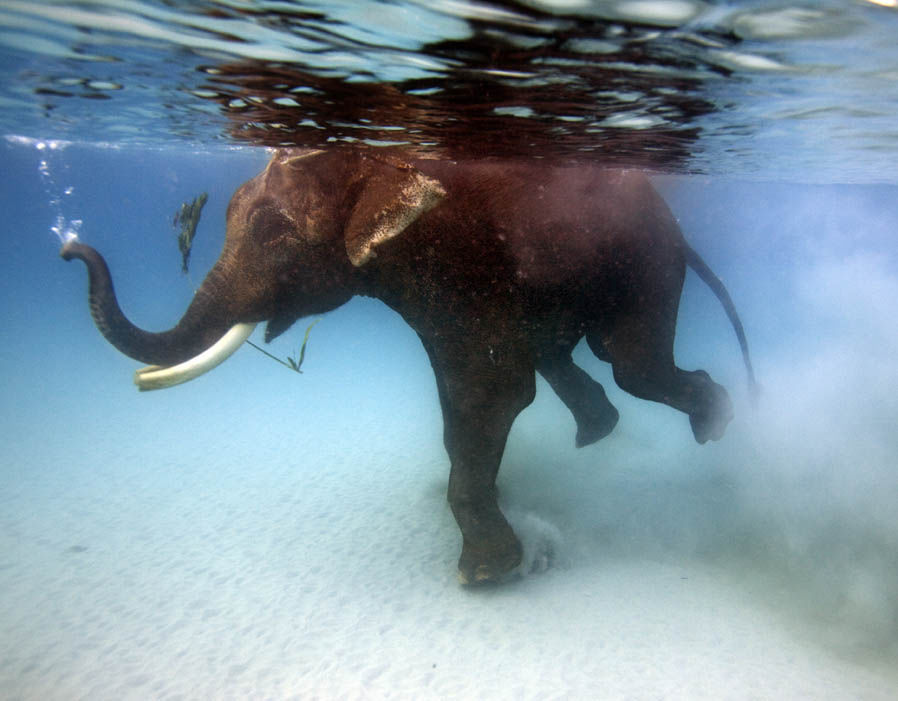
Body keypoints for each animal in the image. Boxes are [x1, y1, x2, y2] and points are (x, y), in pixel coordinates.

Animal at [59, 148, 752, 584]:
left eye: (273, 231)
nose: (68, 250)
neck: (378, 165)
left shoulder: (459, 260)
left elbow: (486, 394)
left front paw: (483, 576)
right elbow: (469, 395)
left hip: (646, 258)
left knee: (630, 362)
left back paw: (714, 422)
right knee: (573, 355)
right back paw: (602, 430)